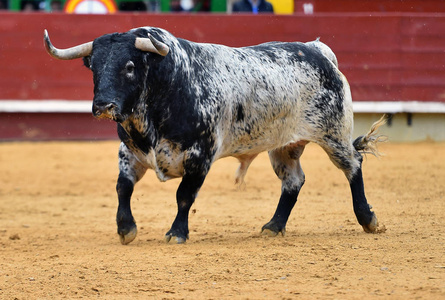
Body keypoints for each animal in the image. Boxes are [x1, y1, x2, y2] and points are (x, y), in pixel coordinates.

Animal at [43, 26, 386, 244]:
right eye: (93, 67)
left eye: (129, 66)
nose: (103, 105)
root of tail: (317, 50)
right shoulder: (130, 152)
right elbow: (122, 188)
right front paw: (126, 229)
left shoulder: (200, 155)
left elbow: (184, 195)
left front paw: (176, 234)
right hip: (284, 146)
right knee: (293, 181)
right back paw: (273, 227)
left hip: (334, 133)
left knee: (353, 165)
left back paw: (368, 219)